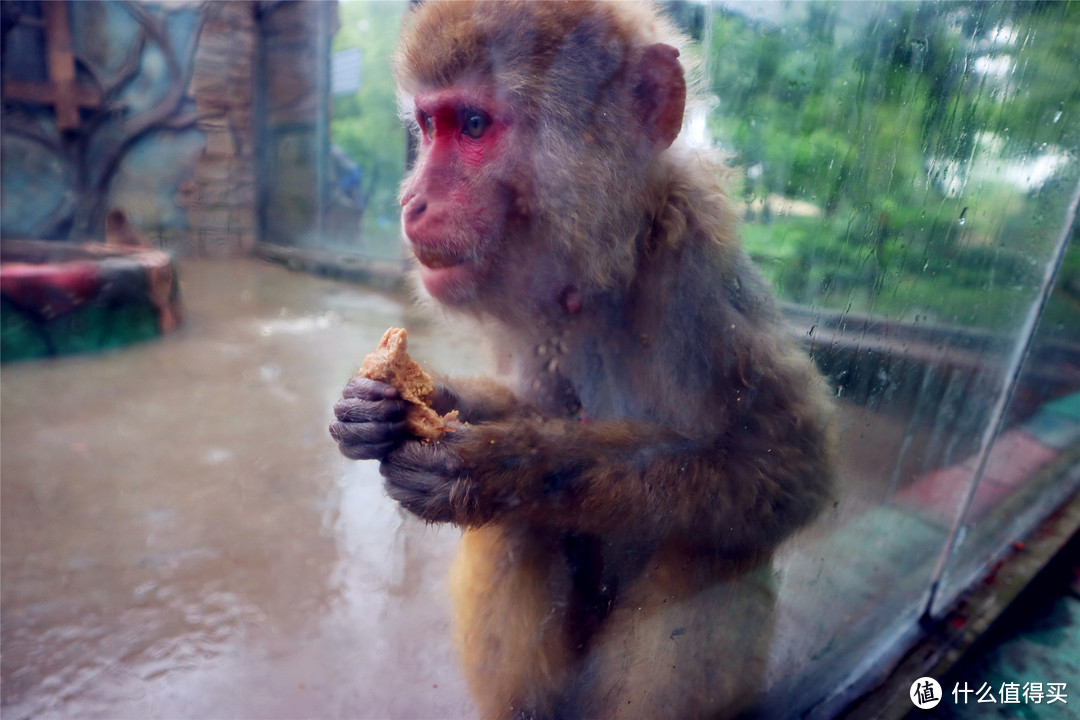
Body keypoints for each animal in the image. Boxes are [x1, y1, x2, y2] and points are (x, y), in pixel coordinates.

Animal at [328, 2, 833, 716]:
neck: (610, 271)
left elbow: (788, 461)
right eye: (428, 125)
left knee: (711, 548)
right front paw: (389, 405)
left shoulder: (698, 279)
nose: (409, 201)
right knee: (522, 535)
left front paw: (499, 469)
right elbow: (531, 404)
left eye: (473, 125)